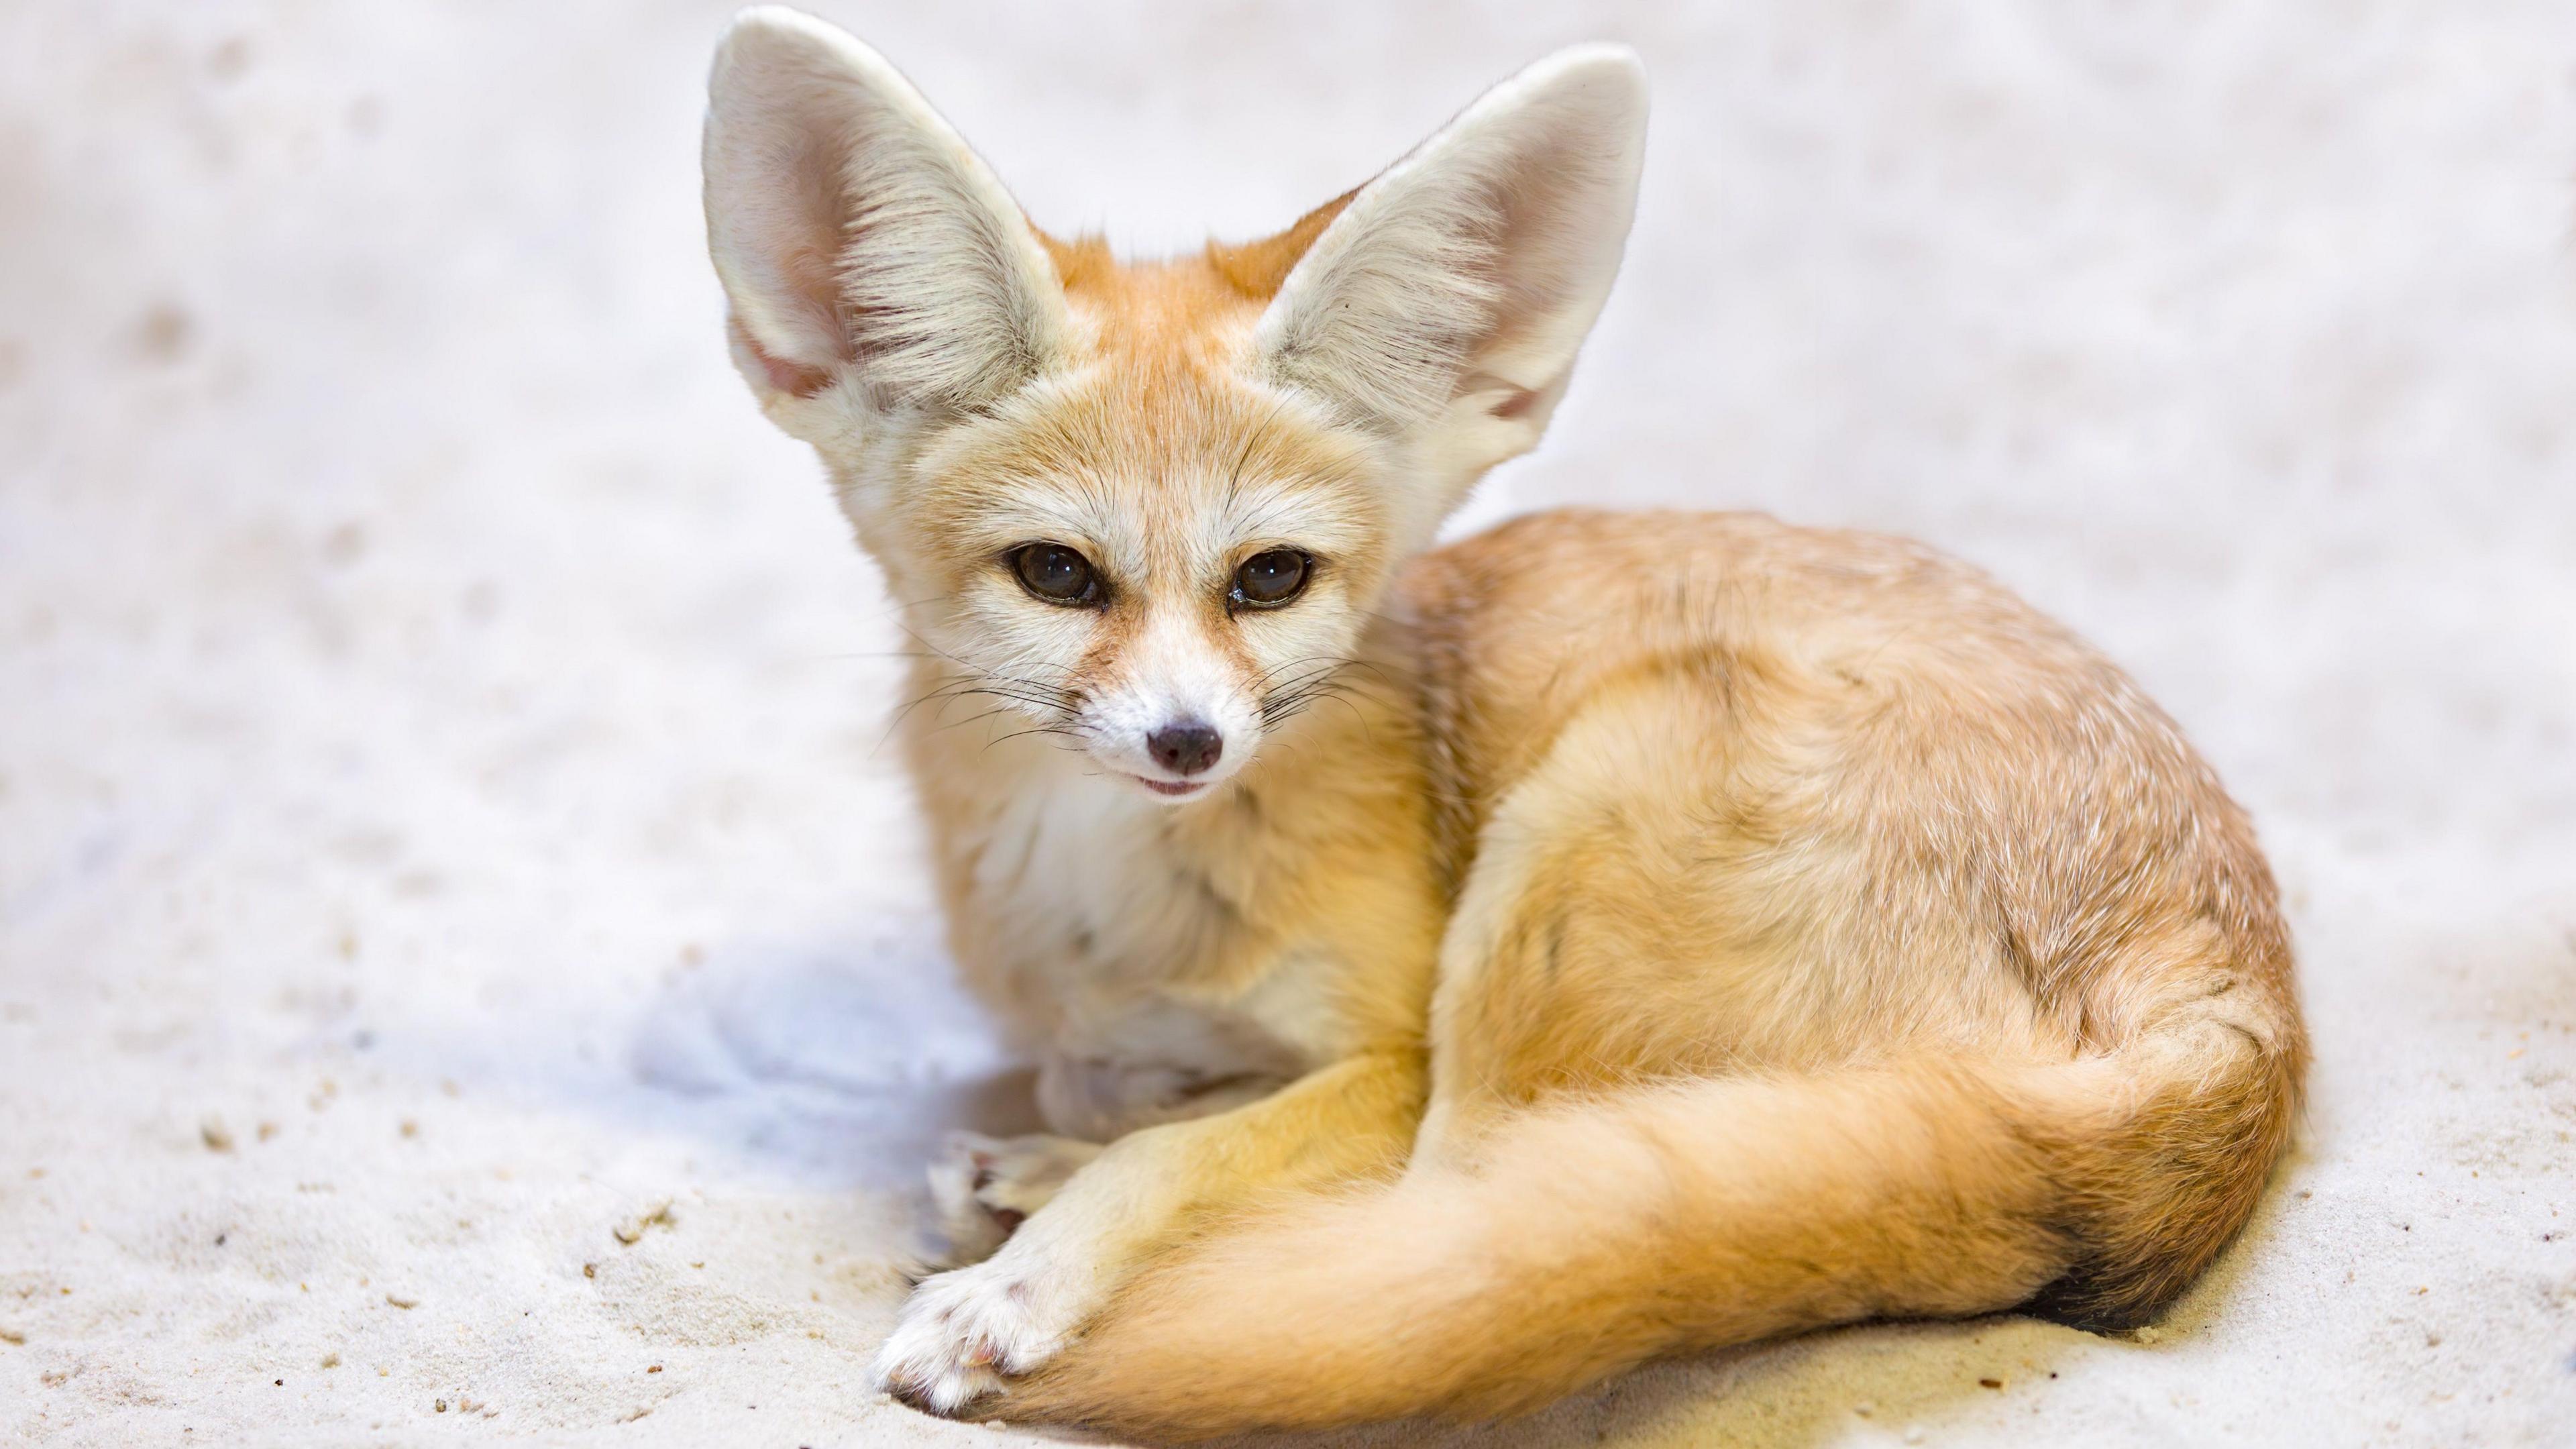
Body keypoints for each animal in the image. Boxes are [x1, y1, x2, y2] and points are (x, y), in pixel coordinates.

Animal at [700, 8, 2298, 1433]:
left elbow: (1194, 1153)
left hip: (1576, 835)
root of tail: (2240, 1011)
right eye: (1057, 575)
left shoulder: (1392, 1053)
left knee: (1436, 1243)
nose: (1187, 745)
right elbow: (1135, 1085)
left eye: (1269, 578)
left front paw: (1035, 1270)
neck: (1119, 908)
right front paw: (1083, 1141)